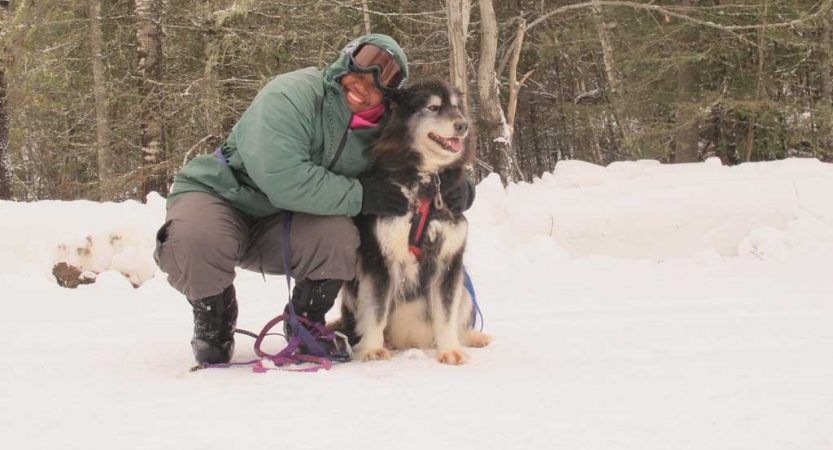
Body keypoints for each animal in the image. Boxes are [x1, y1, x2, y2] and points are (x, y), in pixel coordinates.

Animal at [334, 81, 490, 366]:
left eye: (456, 107)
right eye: (433, 107)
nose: (463, 125)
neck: (427, 183)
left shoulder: (449, 261)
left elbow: (446, 314)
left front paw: (449, 349)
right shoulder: (379, 260)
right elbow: (376, 310)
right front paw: (372, 349)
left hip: (464, 284)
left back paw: (471, 336)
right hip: (352, 290)